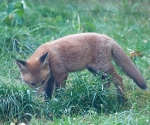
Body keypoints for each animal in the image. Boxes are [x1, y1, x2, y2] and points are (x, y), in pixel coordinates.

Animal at [14, 32, 146, 102]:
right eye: (32, 84)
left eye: (41, 81)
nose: (37, 96)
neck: (50, 56)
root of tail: (109, 38)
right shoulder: (51, 78)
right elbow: (48, 93)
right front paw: (48, 105)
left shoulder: (61, 74)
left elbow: (58, 91)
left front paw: (58, 102)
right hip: (95, 70)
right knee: (106, 81)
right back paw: (102, 95)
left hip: (103, 68)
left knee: (118, 78)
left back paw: (122, 100)